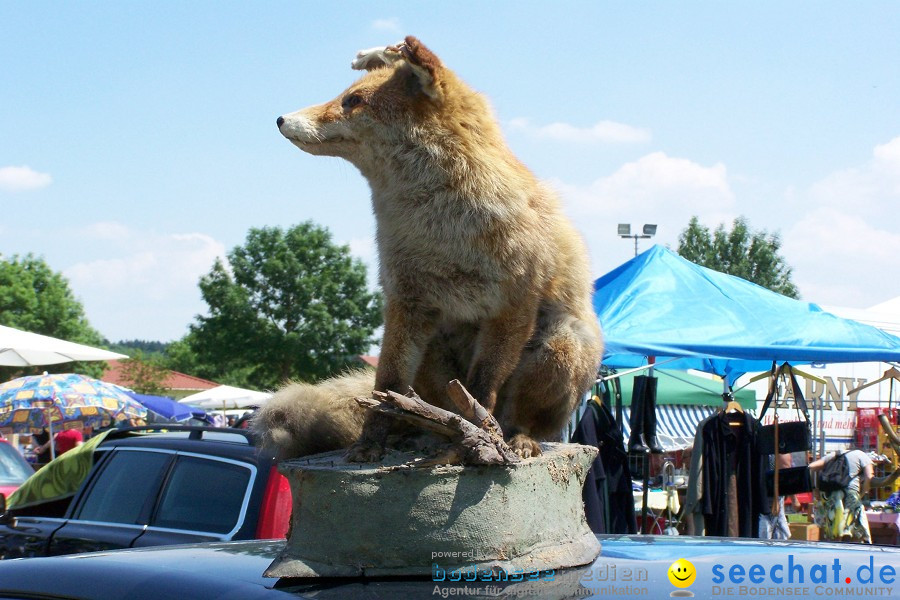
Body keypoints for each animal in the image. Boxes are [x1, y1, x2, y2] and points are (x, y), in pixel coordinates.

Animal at [256, 36, 600, 460]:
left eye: (353, 100)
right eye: (343, 96)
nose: (280, 119)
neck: (441, 233)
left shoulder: (512, 306)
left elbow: (482, 387)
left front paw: (480, 438)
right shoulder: (406, 301)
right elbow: (385, 388)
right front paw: (370, 443)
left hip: (560, 345)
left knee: (523, 419)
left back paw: (514, 439)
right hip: (433, 353)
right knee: (427, 410)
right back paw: (430, 438)